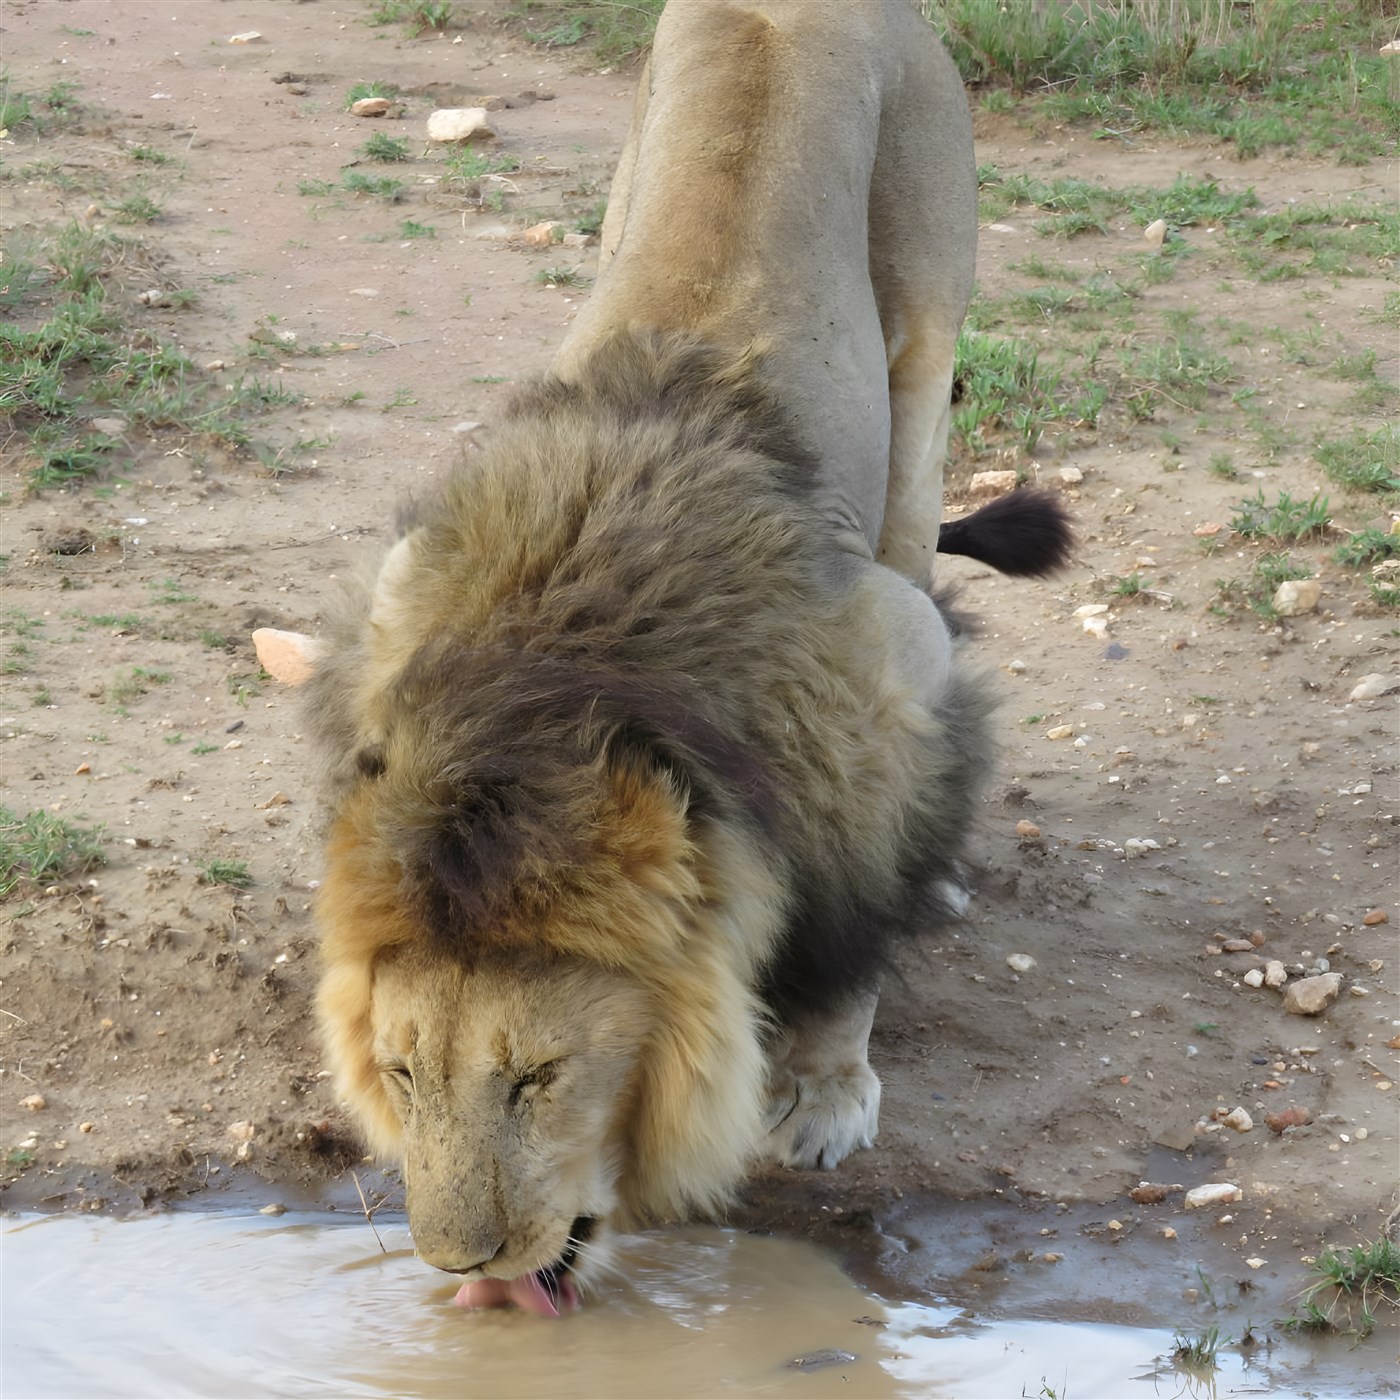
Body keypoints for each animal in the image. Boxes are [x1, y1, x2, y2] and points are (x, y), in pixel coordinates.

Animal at [255, 0, 1070, 1316]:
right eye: (405, 1072)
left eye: (537, 1075)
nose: (460, 1265)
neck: (547, 675)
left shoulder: (888, 663)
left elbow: (854, 911)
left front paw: (826, 1089)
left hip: (923, 353)